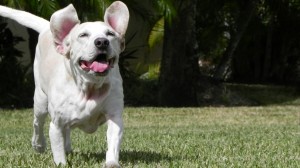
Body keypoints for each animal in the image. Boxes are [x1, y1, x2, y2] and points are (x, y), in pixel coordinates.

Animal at [0, 1, 129, 167]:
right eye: (83, 35)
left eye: (110, 34)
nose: (102, 42)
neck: (89, 87)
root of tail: (47, 28)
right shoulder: (56, 124)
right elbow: (58, 148)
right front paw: (61, 162)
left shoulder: (114, 116)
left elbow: (113, 142)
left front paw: (112, 162)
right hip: (40, 100)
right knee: (37, 123)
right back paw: (38, 144)